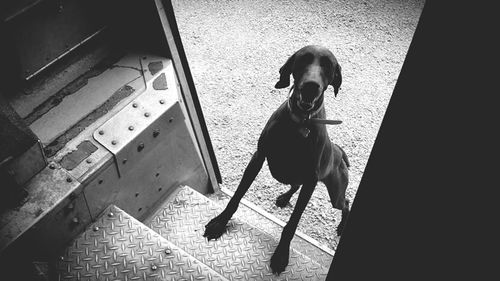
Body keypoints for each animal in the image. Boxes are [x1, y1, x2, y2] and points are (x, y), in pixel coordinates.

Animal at [202, 45, 348, 274]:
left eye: (328, 65)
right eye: (303, 60)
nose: (310, 87)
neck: (299, 124)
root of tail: (339, 151)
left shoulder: (311, 181)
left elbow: (292, 224)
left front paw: (280, 255)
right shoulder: (258, 157)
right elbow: (237, 196)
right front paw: (220, 223)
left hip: (335, 192)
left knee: (347, 204)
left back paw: (341, 226)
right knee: (295, 185)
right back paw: (285, 198)